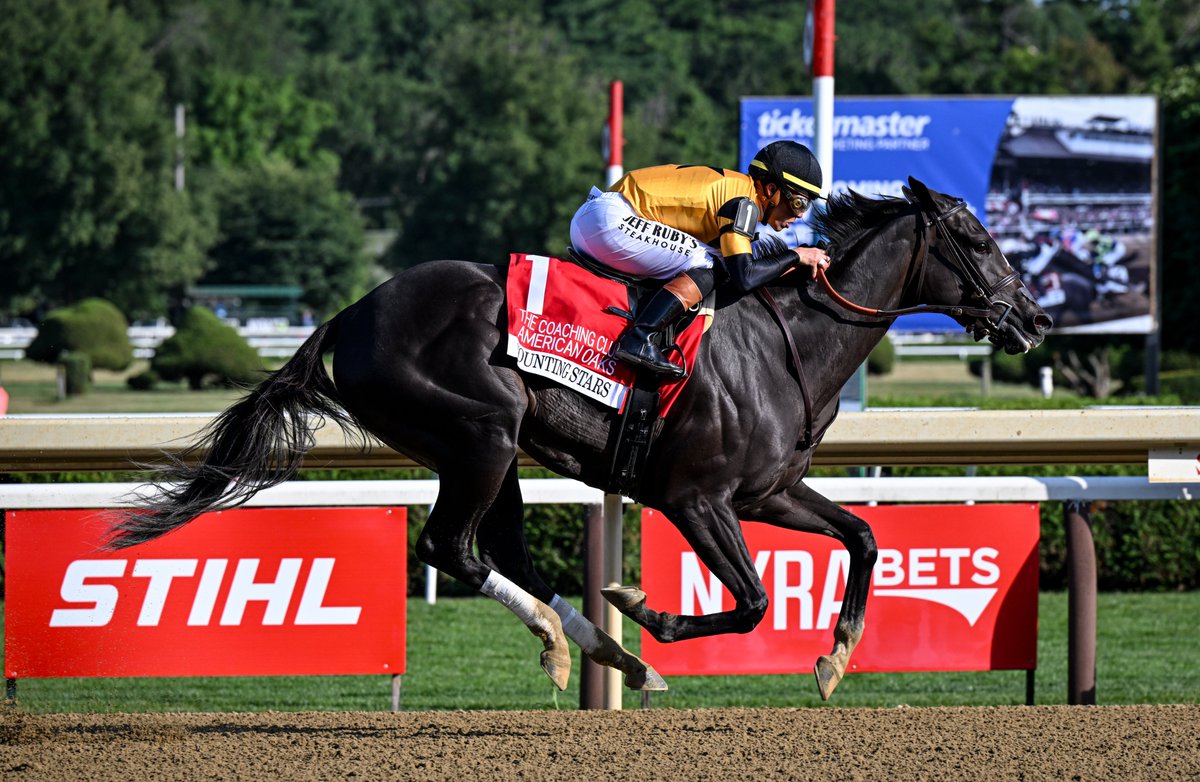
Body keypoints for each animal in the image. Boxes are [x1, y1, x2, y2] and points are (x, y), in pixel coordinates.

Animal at [109, 177, 1051, 700]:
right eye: (976, 239)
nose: (1035, 319)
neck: (786, 344)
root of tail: (353, 311)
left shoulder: (768, 492)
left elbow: (862, 536)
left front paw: (835, 659)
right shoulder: (697, 498)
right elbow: (751, 600)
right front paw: (646, 607)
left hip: (490, 451)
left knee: (500, 551)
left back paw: (604, 651)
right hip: (482, 432)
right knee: (450, 547)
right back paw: (583, 643)